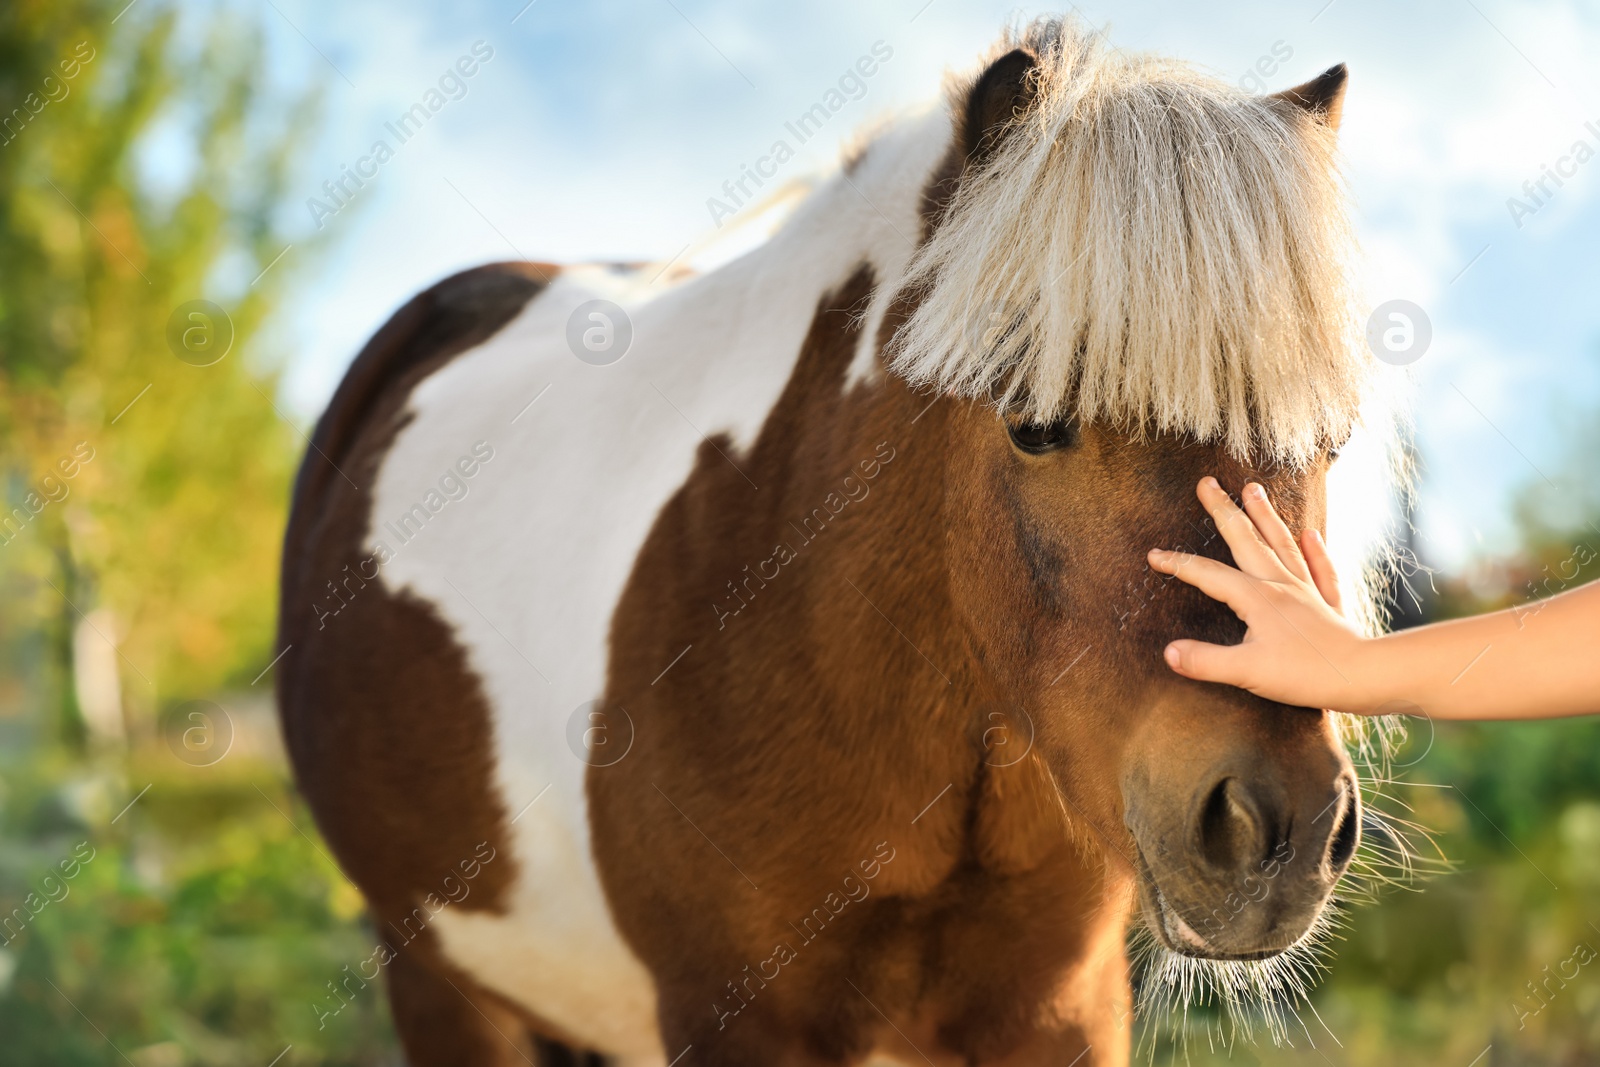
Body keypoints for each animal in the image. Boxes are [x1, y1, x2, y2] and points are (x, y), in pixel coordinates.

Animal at [281, 18, 1395, 1067]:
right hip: (441, 983)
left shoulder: (1061, 1014)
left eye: (1329, 442)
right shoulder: (735, 1023)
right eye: (1033, 422)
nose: (1277, 829)